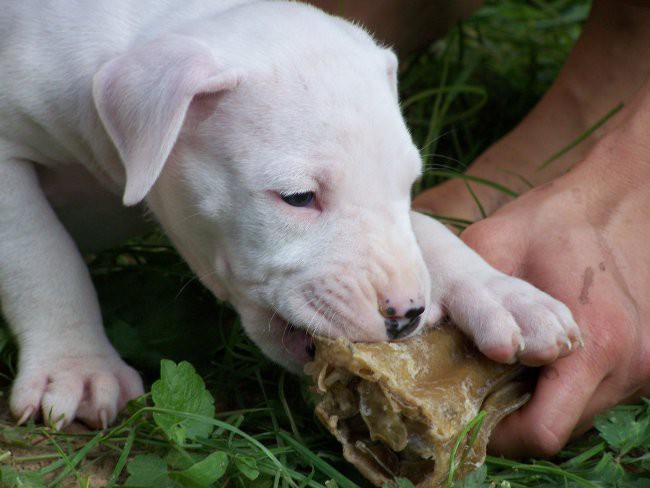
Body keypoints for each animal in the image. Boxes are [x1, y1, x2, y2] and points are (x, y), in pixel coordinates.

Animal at [0, 0, 576, 428]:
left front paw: (502, 293)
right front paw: (77, 367)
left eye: (408, 186)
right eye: (298, 198)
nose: (408, 313)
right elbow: (42, 256)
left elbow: (425, 228)